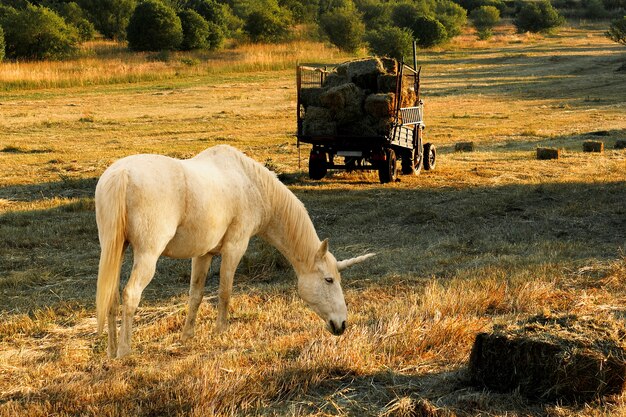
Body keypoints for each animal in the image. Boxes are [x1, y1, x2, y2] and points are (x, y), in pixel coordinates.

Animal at [95, 145, 372, 356]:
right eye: (329, 280)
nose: (342, 324)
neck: (252, 184)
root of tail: (122, 174)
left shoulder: (203, 254)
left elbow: (196, 295)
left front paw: (188, 336)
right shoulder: (235, 247)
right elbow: (225, 292)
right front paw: (221, 331)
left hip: (114, 250)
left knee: (112, 297)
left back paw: (110, 350)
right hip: (147, 256)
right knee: (130, 294)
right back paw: (124, 351)